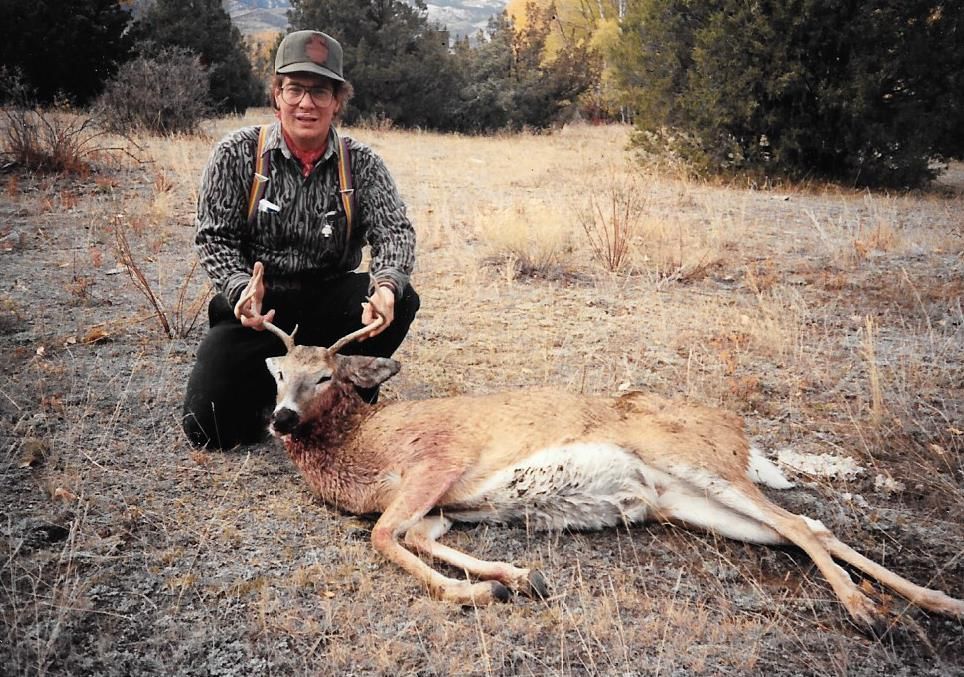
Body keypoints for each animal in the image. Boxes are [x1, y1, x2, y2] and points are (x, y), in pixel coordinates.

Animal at [236, 272, 964, 633]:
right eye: (280, 374)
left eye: (326, 376)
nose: (280, 417)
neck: (360, 444)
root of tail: (738, 430)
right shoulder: (438, 506)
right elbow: (415, 537)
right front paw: (516, 578)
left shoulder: (435, 463)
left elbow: (385, 537)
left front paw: (474, 594)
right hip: (689, 502)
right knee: (806, 526)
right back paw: (934, 604)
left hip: (697, 460)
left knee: (800, 524)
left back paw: (870, 613)